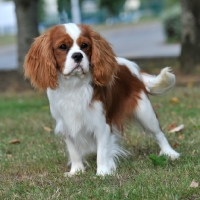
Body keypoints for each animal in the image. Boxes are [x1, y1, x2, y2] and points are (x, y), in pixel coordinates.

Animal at [23, 23, 180, 176]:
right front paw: (76, 171)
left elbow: (102, 151)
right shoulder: (66, 124)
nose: (78, 55)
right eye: (62, 47)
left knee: (158, 133)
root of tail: (133, 67)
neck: (74, 86)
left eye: (85, 45)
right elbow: (74, 151)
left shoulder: (102, 124)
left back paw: (170, 153)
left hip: (145, 112)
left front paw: (103, 172)